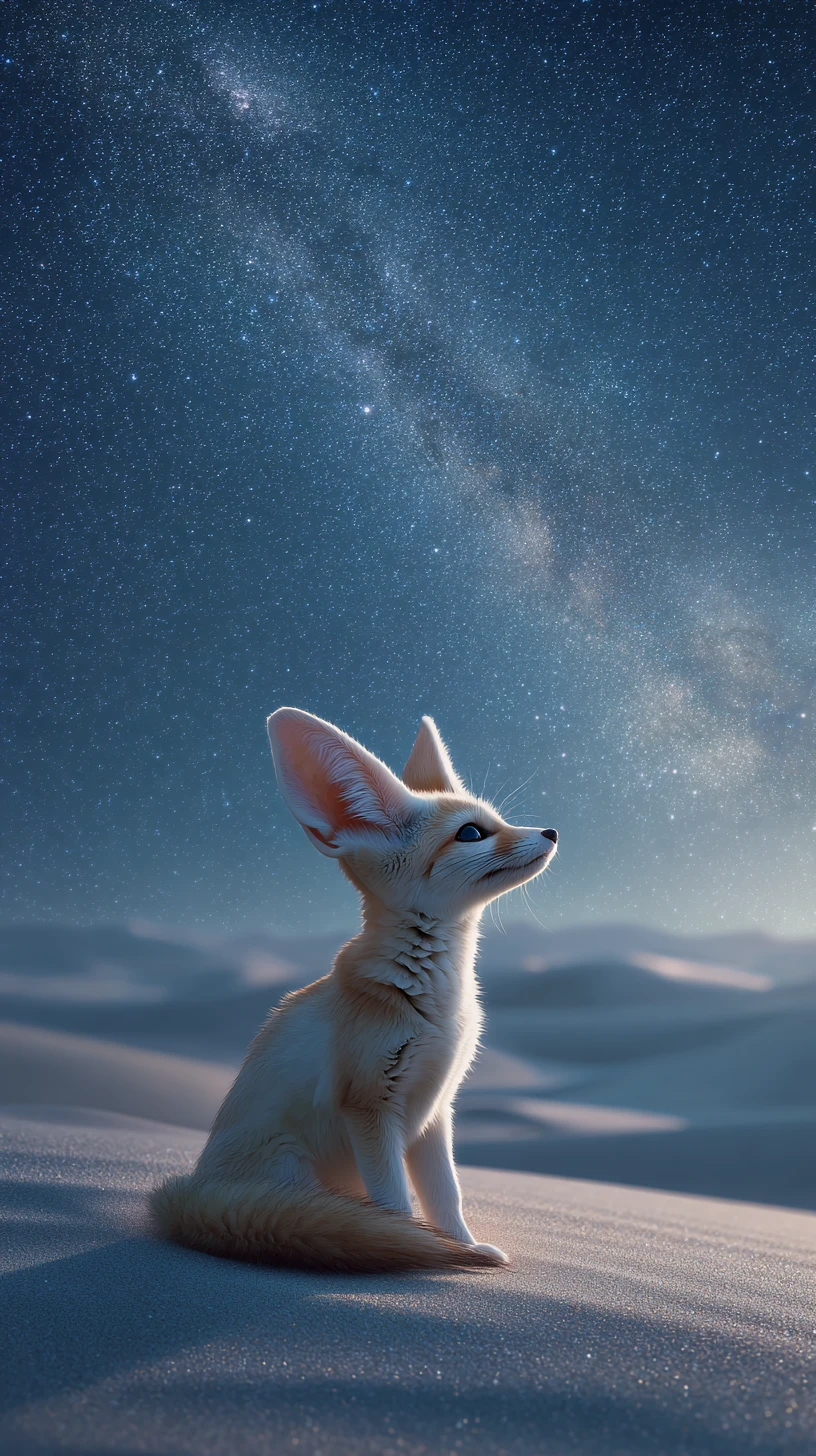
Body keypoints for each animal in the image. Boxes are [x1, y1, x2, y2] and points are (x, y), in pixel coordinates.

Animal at [150, 708, 558, 1272]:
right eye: (472, 833)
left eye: (495, 818)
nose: (551, 831)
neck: (433, 1001)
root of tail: (194, 1189)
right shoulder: (369, 1105)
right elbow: (396, 1204)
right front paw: (413, 1250)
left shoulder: (435, 1110)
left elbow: (445, 1195)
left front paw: (464, 1245)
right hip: (291, 1165)